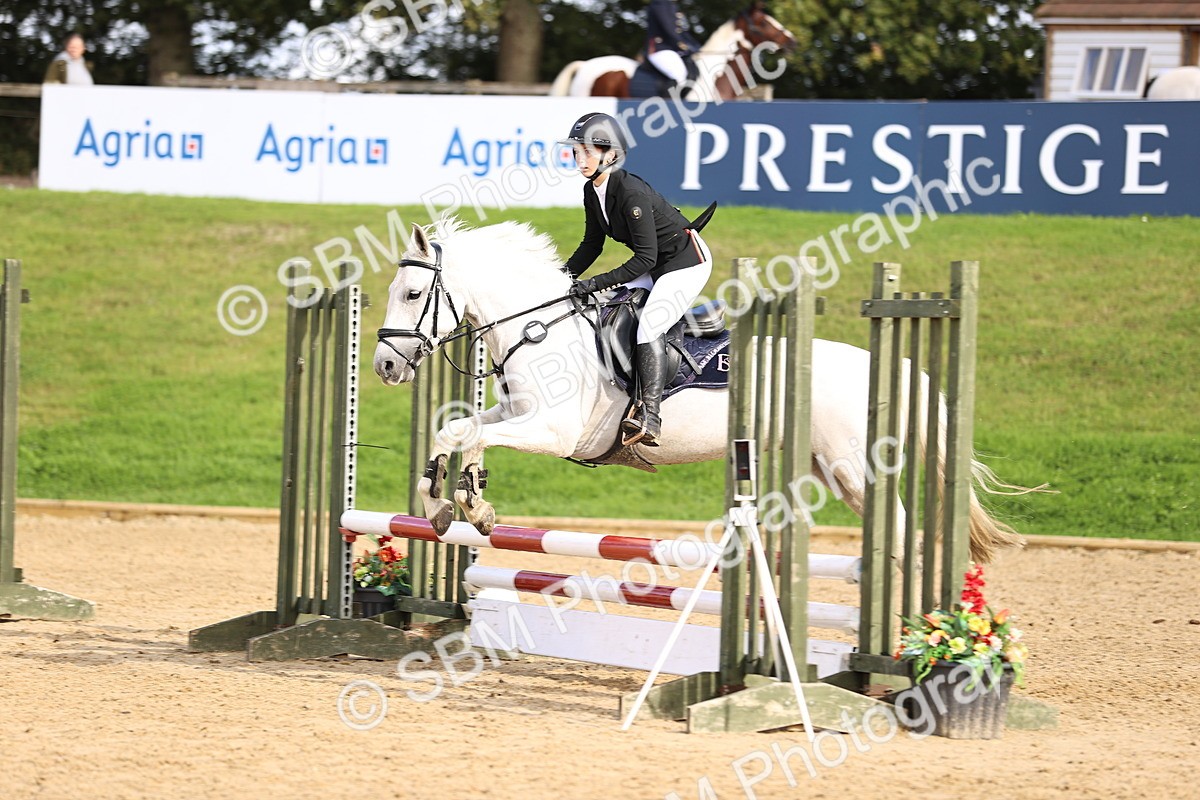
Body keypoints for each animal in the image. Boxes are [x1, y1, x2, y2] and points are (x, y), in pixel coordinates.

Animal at [373, 218, 1031, 564]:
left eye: (412, 294)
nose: (382, 365)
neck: (539, 326)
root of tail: (883, 366)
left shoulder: (553, 432)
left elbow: (469, 434)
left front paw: (471, 505)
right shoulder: (517, 412)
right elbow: (457, 427)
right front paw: (445, 506)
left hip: (851, 467)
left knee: (898, 530)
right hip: (832, 470)